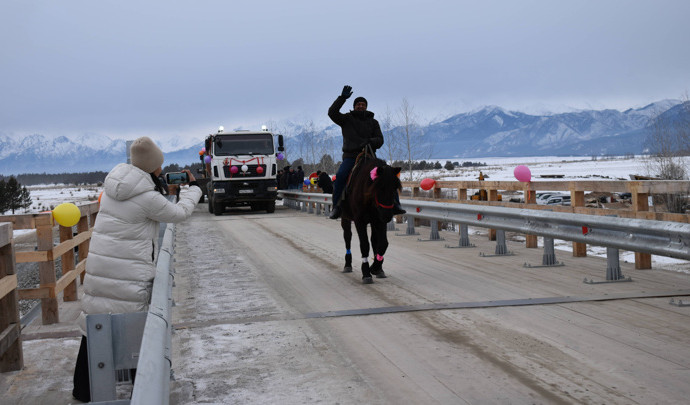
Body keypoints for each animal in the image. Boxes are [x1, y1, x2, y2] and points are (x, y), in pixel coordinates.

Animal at [338, 153, 398, 282]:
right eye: (380, 187)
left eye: (395, 188)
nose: (387, 215)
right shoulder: (359, 221)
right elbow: (364, 245)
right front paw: (366, 272)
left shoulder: (379, 221)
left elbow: (383, 243)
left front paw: (376, 267)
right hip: (345, 218)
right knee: (347, 237)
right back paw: (347, 265)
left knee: (374, 240)